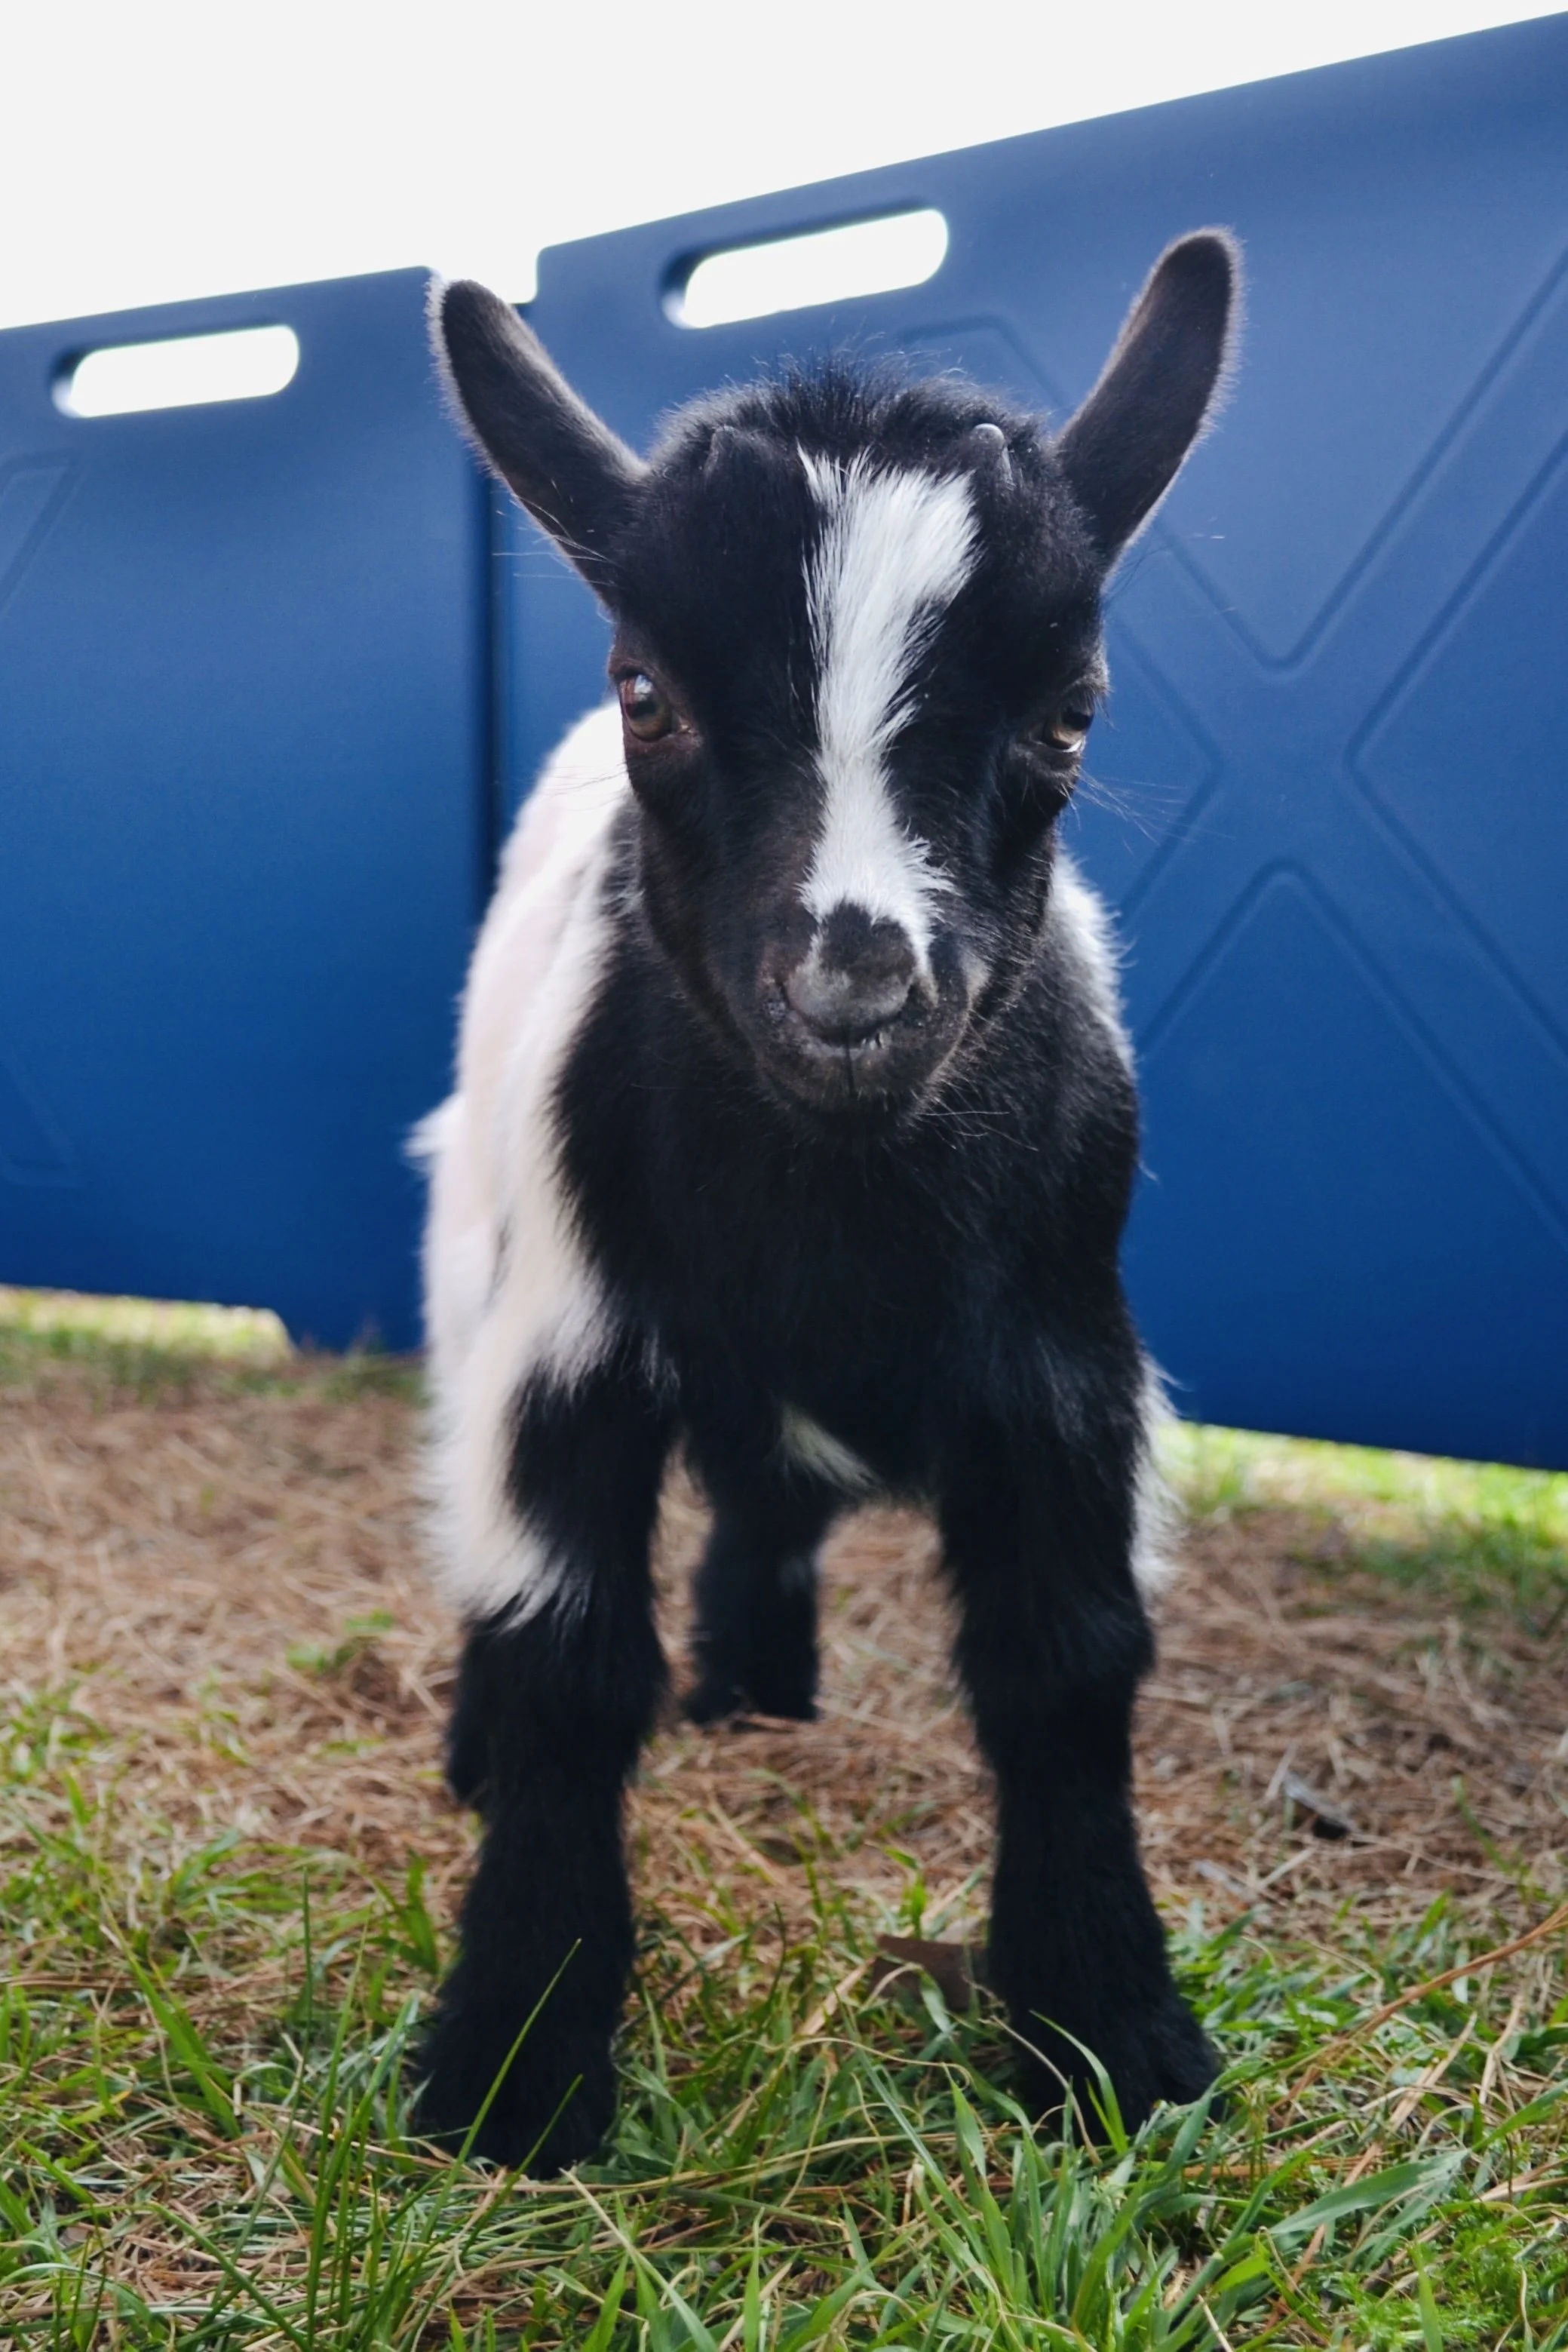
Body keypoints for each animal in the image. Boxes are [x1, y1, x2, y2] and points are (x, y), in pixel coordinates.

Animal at [414, 233, 1239, 2172]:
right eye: (648, 690)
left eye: (1070, 709)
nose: (853, 986)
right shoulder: (565, 1342)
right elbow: (566, 1654)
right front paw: (513, 2068)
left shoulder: (1068, 1368)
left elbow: (1067, 1660)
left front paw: (1112, 2037)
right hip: (469, 1255)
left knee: (768, 1508)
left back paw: (760, 1689)